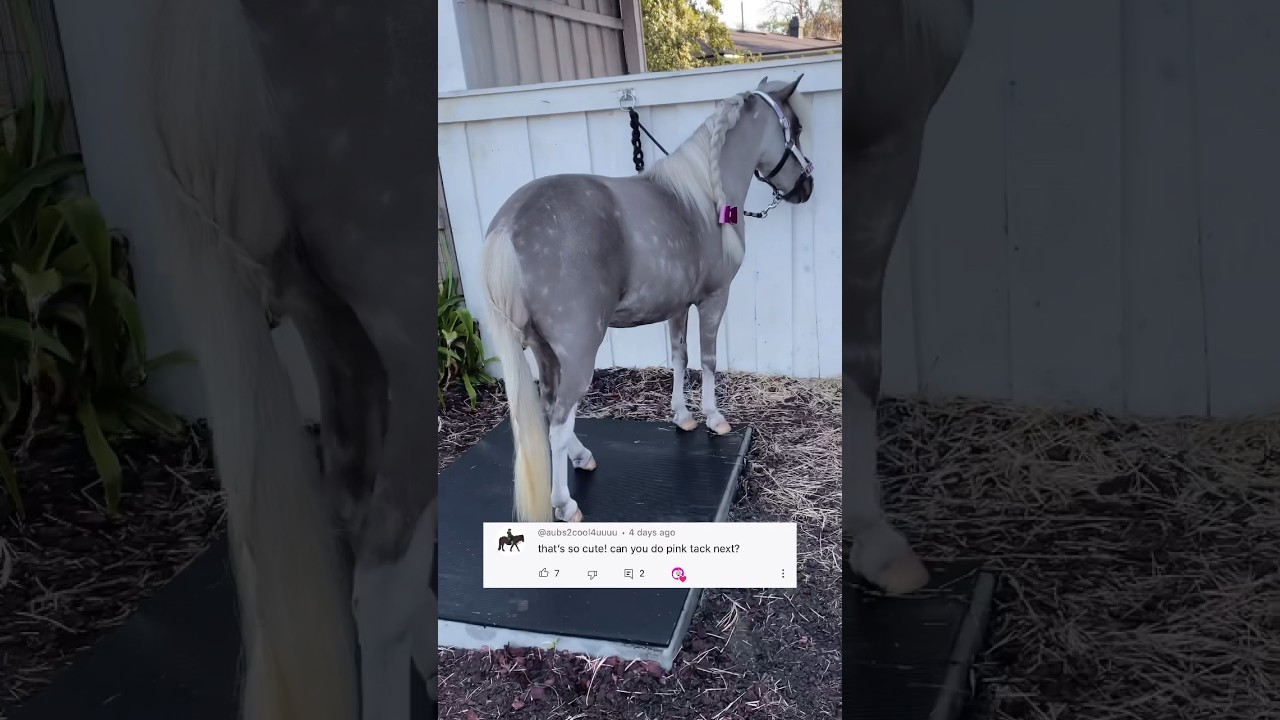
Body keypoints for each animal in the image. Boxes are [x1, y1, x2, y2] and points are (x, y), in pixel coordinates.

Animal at [480, 76, 815, 525]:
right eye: (795, 128)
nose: (806, 187)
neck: (702, 196)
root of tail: (507, 225)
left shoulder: (676, 307)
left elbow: (679, 358)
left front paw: (683, 417)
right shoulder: (714, 299)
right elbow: (709, 360)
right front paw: (714, 419)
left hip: (543, 349)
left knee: (550, 408)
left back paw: (583, 457)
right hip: (578, 351)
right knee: (558, 422)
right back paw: (565, 504)